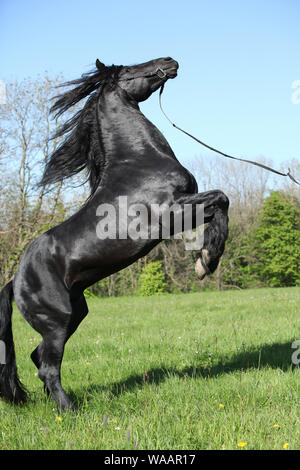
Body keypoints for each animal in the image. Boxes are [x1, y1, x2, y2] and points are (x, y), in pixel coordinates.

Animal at [0, 57, 229, 410]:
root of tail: (15, 281)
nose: (169, 61)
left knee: (38, 358)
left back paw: (55, 404)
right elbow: (221, 200)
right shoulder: (171, 214)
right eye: (130, 70)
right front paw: (206, 260)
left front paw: (206, 260)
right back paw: (69, 410)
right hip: (57, 320)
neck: (138, 160)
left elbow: (222, 203)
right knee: (48, 366)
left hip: (75, 314)